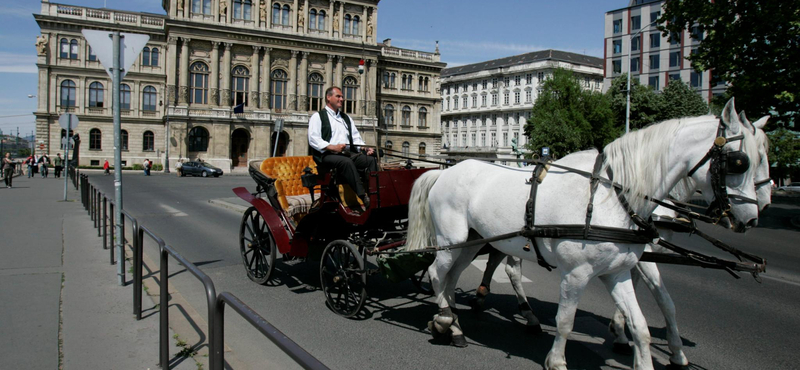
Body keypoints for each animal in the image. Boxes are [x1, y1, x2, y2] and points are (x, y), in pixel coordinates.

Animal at [406, 99, 764, 370]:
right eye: (740, 162)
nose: (751, 218)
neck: (611, 197)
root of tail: (445, 172)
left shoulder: (618, 272)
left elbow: (642, 325)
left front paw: (635, 344)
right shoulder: (576, 274)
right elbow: (566, 320)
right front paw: (557, 361)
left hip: (472, 241)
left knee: (452, 277)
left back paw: (452, 322)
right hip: (452, 241)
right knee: (438, 273)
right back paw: (447, 320)